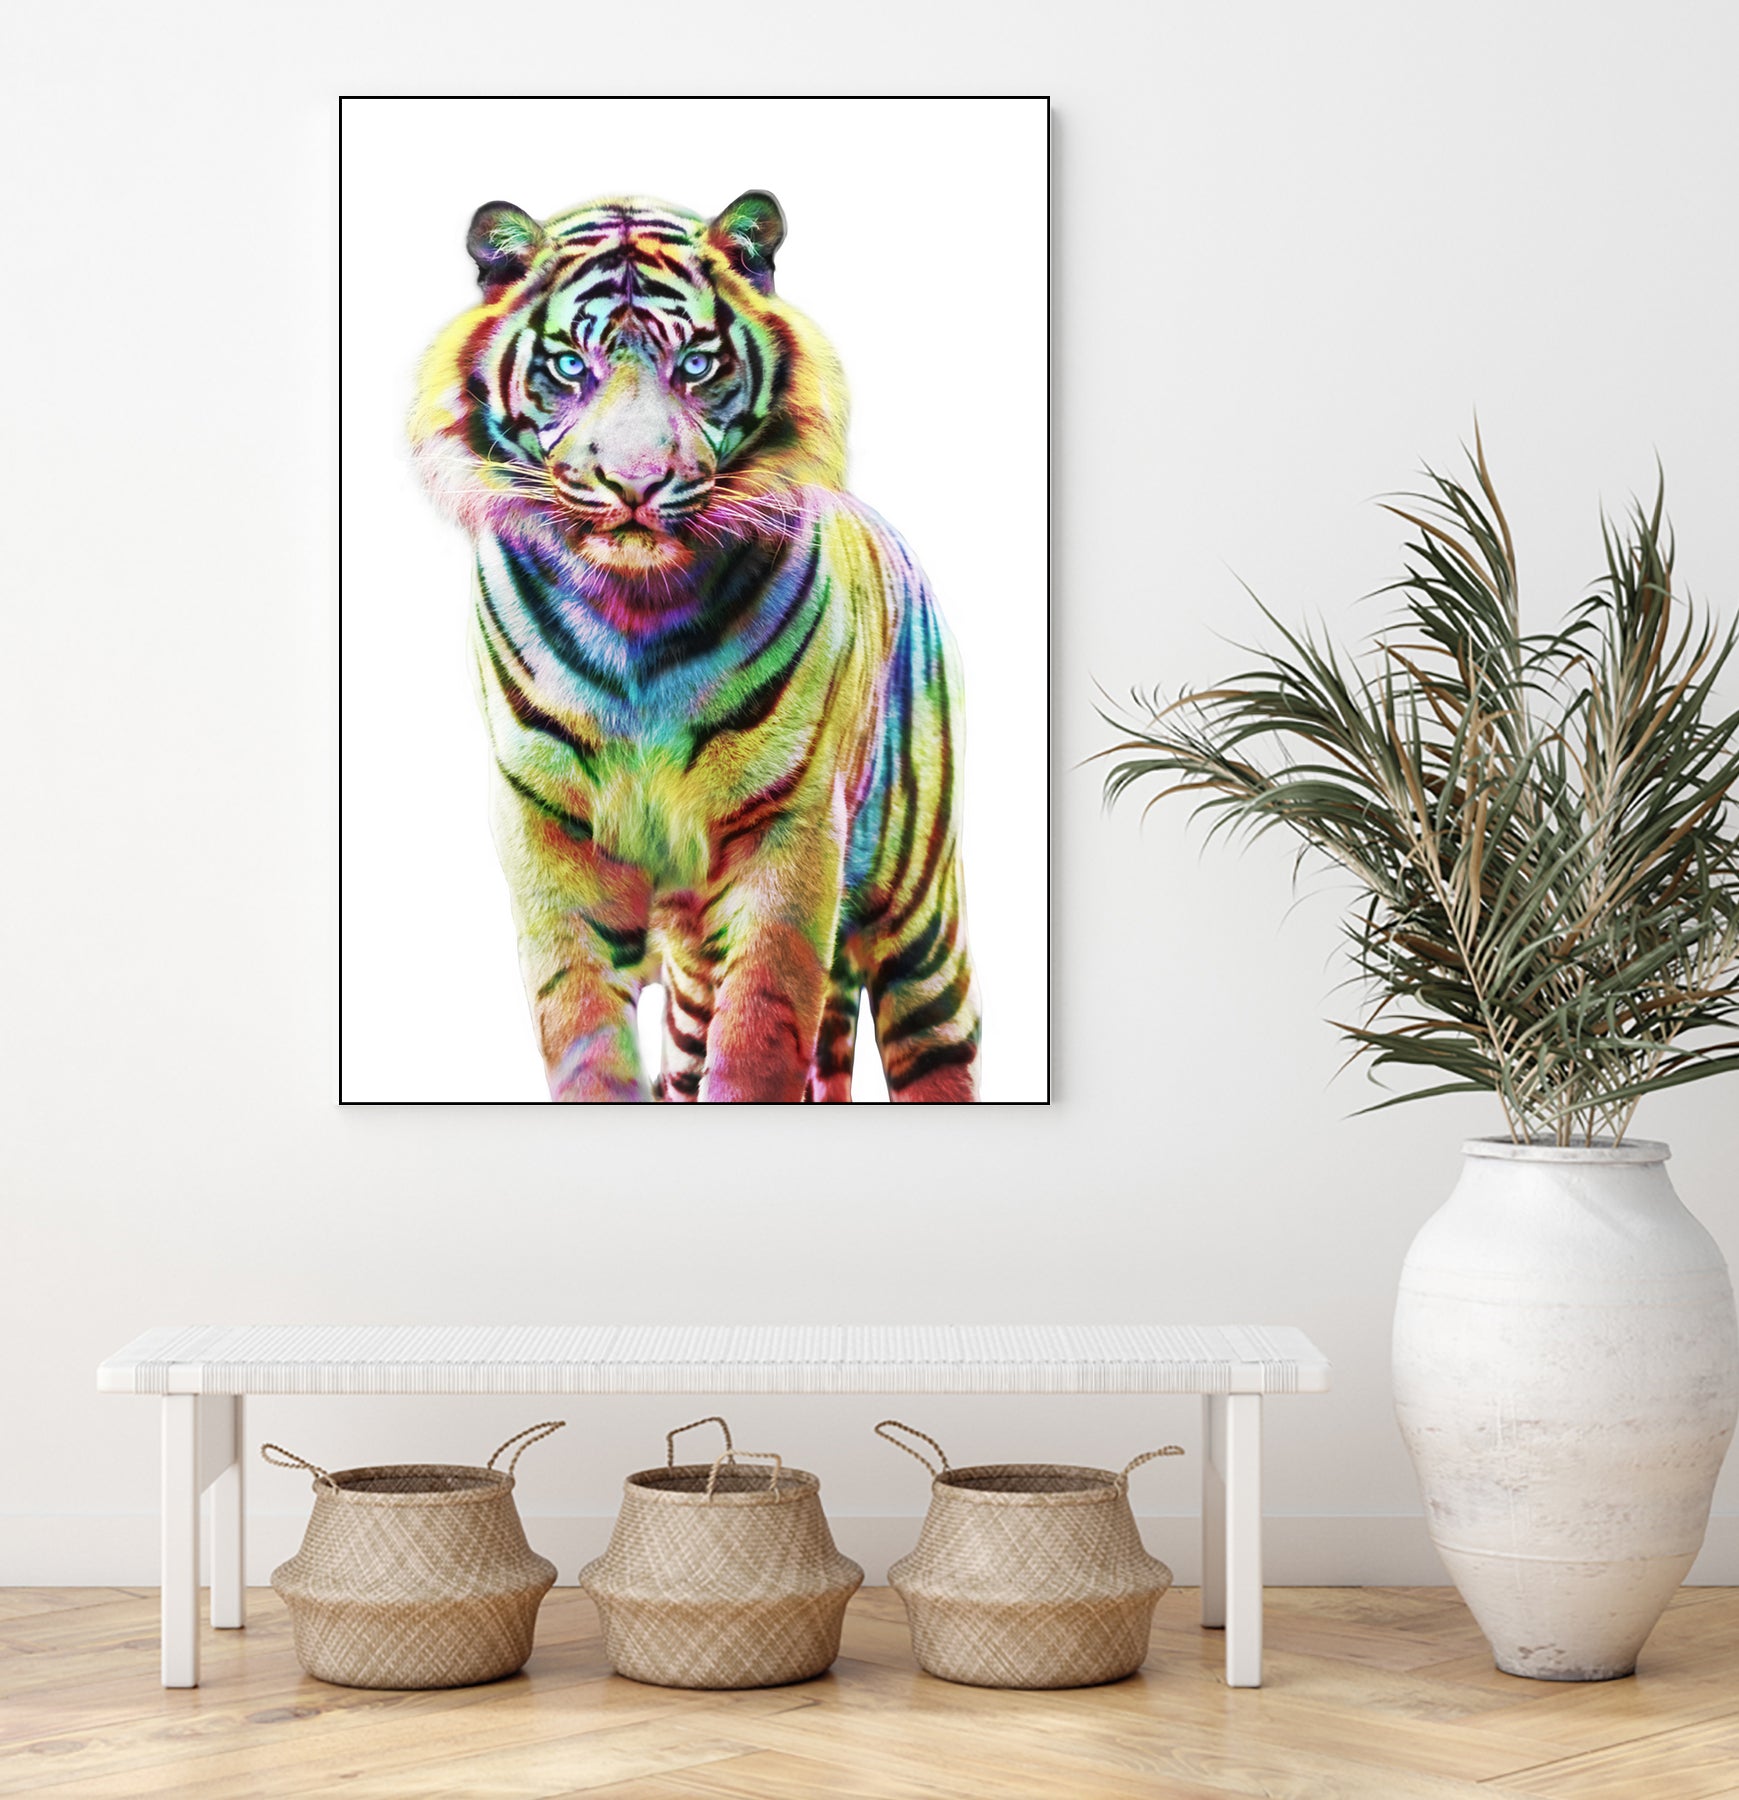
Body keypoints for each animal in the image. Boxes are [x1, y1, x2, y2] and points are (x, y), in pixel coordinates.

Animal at [409, 190, 980, 1102]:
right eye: (568, 366)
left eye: (698, 365)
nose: (635, 483)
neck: (633, 617)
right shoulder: (546, 829)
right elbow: (580, 1026)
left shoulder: (788, 829)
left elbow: (760, 1033)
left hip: (920, 927)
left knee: (933, 1050)